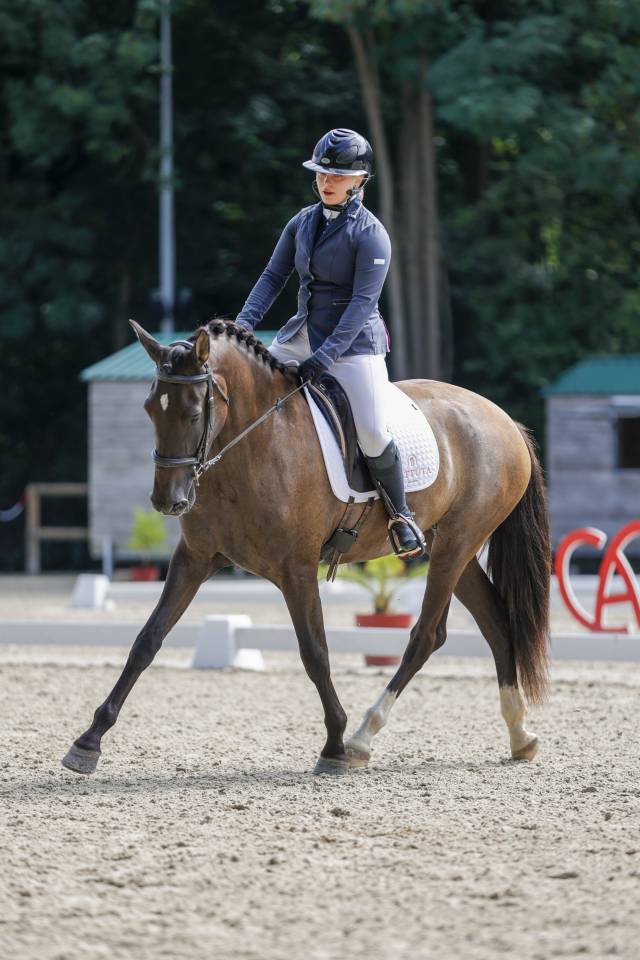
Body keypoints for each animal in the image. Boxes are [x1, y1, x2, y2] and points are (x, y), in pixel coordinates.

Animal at [62, 319, 550, 776]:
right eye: (150, 408)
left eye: (194, 413)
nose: (168, 500)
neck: (250, 445)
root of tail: (505, 421)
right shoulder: (195, 559)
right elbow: (147, 641)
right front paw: (88, 742)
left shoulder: (296, 568)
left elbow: (315, 653)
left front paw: (333, 746)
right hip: (453, 547)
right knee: (494, 623)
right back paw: (520, 735)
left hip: (456, 544)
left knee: (426, 635)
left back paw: (361, 738)